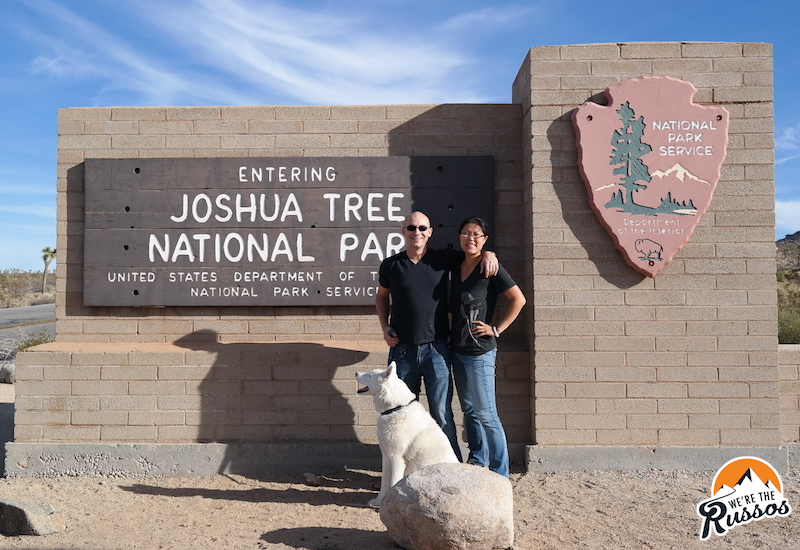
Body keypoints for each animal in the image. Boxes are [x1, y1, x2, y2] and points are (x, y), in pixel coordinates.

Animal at [354, 362, 460, 508]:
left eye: (370, 375)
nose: (356, 373)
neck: (396, 409)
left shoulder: (397, 459)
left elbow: (393, 483)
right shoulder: (386, 457)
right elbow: (384, 484)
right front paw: (378, 501)